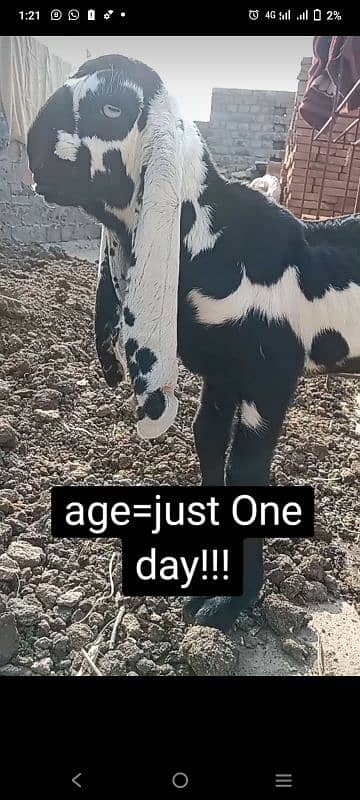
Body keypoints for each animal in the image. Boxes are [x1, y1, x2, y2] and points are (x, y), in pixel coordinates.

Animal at [27, 56, 360, 632]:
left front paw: (231, 607)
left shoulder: (269, 376)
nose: (32, 147)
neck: (216, 239)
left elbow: (246, 471)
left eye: (112, 106)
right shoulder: (222, 375)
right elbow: (208, 448)